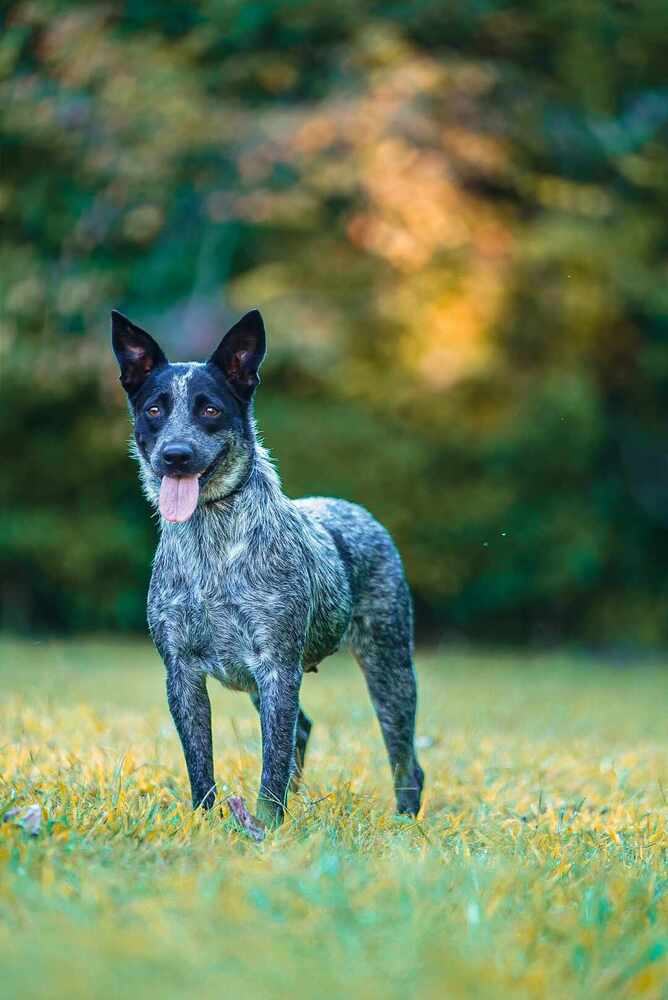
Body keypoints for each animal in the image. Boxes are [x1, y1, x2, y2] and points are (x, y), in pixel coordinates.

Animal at [109, 310, 422, 828]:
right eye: (154, 409)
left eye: (210, 409)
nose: (175, 455)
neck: (211, 543)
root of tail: (354, 509)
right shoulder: (182, 673)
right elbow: (201, 763)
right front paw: (206, 822)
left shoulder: (277, 667)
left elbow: (271, 760)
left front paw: (268, 827)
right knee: (304, 731)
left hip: (389, 663)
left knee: (405, 758)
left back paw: (405, 823)